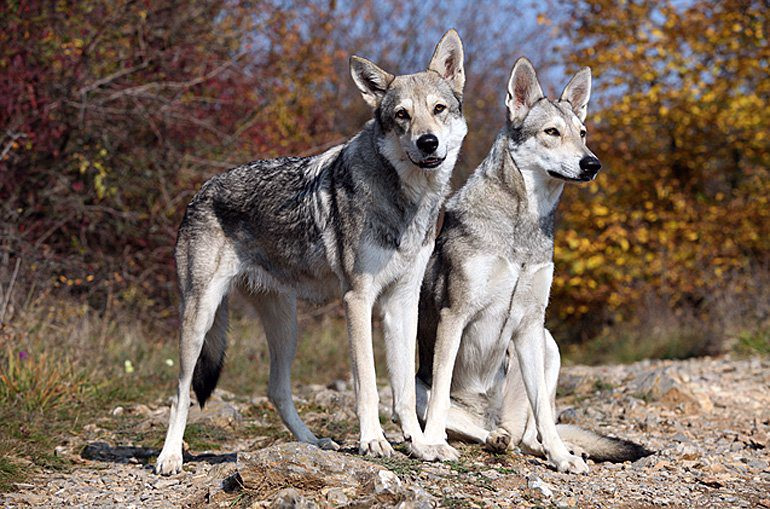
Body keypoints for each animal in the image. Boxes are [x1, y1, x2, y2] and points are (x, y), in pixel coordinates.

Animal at [155, 30, 468, 475]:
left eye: (438, 109)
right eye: (402, 116)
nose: (428, 142)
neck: (407, 201)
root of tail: (201, 190)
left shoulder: (402, 302)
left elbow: (405, 390)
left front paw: (422, 445)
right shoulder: (357, 300)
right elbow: (368, 385)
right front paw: (373, 442)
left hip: (286, 326)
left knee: (276, 390)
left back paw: (313, 443)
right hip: (200, 317)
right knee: (181, 390)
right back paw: (169, 457)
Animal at [413, 58, 651, 472]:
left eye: (583, 133)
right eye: (551, 132)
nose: (592, 164)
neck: (524, 223)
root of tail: (492, 415)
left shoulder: (529, 322)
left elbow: (544, 411)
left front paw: (562, 458)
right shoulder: (453, 315)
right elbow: (441, 394)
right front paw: (434, 446)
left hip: (547, 343)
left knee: (529, 435)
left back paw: (561, 449)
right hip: (414, 388)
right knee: (481, 429)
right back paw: (490, 438)